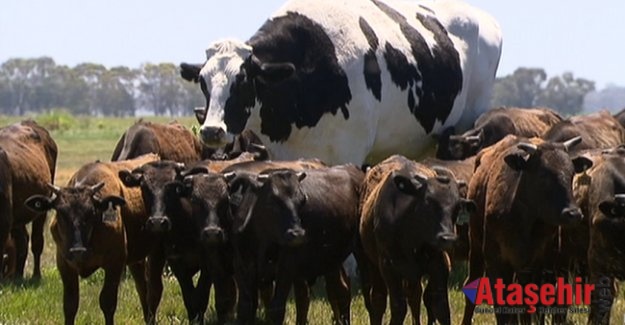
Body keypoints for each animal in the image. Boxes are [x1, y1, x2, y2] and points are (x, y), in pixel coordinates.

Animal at [0, 119, 56, 278]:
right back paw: (17, 275)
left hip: (41, 208)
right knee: (23, 241)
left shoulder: (5, 220)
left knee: (36, 242)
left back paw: (35, 275)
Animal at [25, 154, 158, 324]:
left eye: (91, 212)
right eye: (61, 212)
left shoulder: (115, 264)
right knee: (143, 288)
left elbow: (107, 302)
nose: (77, 250)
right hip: (136, 259)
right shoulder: (64, 264)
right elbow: (70, 305)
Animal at [358, 155, 470, 324]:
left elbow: (441, 307)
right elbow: (398, 307)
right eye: (428, 202)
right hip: (373, 264)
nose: (448, 238)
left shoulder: (440, 264)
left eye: (457, 208)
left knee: (415, 296)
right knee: (378, 299)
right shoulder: (388, 267)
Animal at [460, 134, 592, 324]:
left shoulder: (539, 265)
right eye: (543, 175)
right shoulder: (496, 262)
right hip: (476, 245)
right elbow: (502, 306)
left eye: (572, 173)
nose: (573, 213)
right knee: (473, 282)